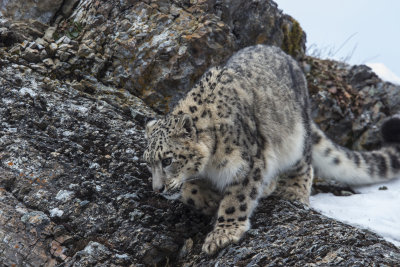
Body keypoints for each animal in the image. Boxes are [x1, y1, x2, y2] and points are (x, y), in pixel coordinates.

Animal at [143, 44, 400, 255]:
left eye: (167, 160)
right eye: (148, 162)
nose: (157, 189)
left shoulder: (246, 163)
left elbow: (237, 199)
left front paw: (223, 234)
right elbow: (190, 190)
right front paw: (208, 200)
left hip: (295, 138)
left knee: (304, 164)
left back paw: (293, 191)